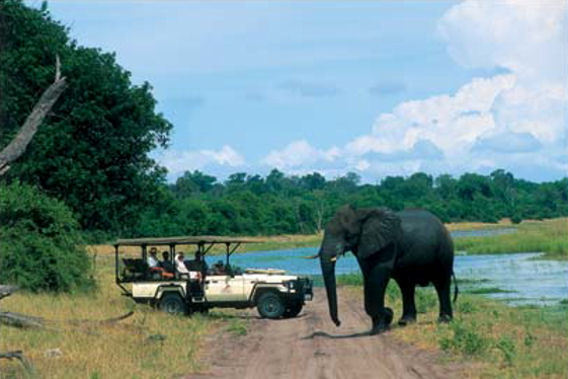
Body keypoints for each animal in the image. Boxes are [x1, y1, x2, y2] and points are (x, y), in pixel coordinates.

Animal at [316, 205, 458, 336]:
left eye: (349, 235)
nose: (338, 323)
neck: (361, 214)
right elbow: (368, 276)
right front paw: (380, 326)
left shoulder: (388, 246)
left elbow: (378, 275)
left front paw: (383, 321)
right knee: (406, 286)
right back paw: (405, 322)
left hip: (445, 251)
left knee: (441, 283)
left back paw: (444, 320)